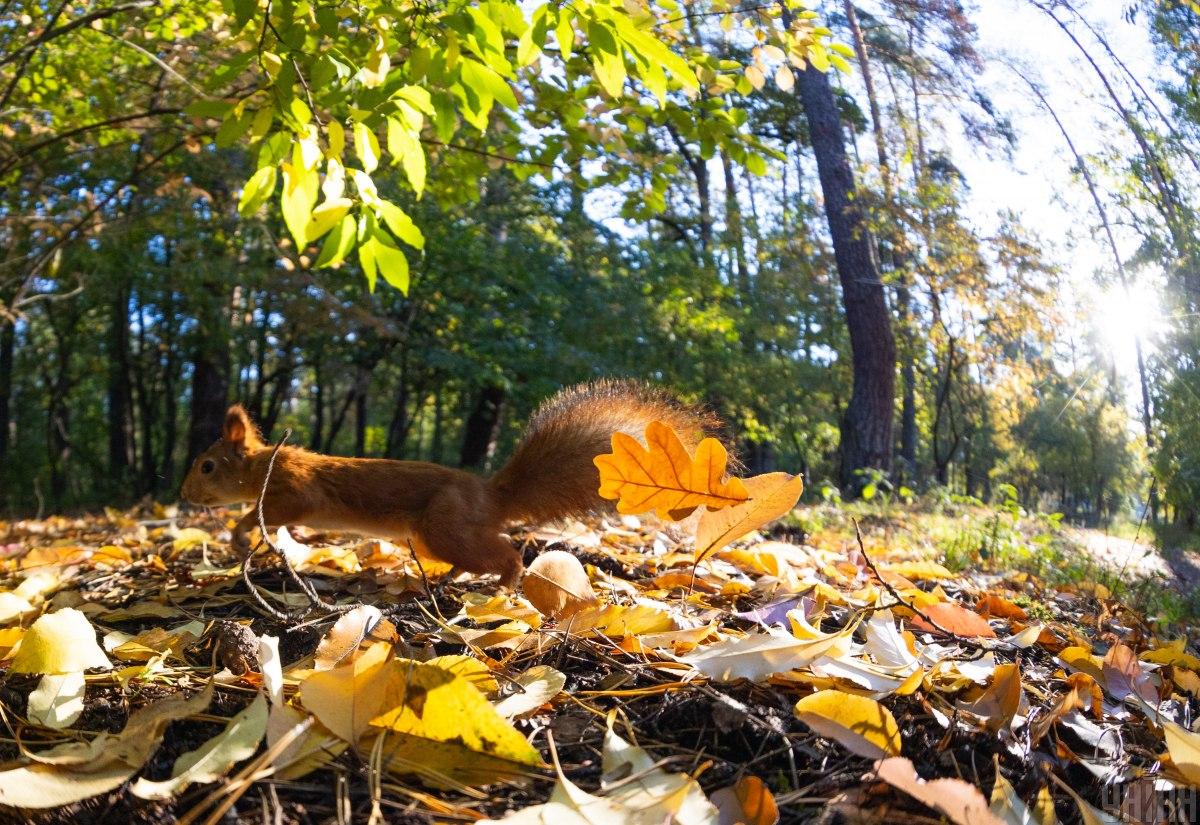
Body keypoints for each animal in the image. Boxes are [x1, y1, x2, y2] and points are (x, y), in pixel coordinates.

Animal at [180, 381, 710, 587]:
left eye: (206, 466)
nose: (184, 495)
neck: (265, 465)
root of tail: (491, 496)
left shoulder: (297, 490)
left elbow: (269, 514)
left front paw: (238, 534)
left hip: (445, 525)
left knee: (506, 554)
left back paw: (506, 583)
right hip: (434, 536)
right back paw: (440, 580)